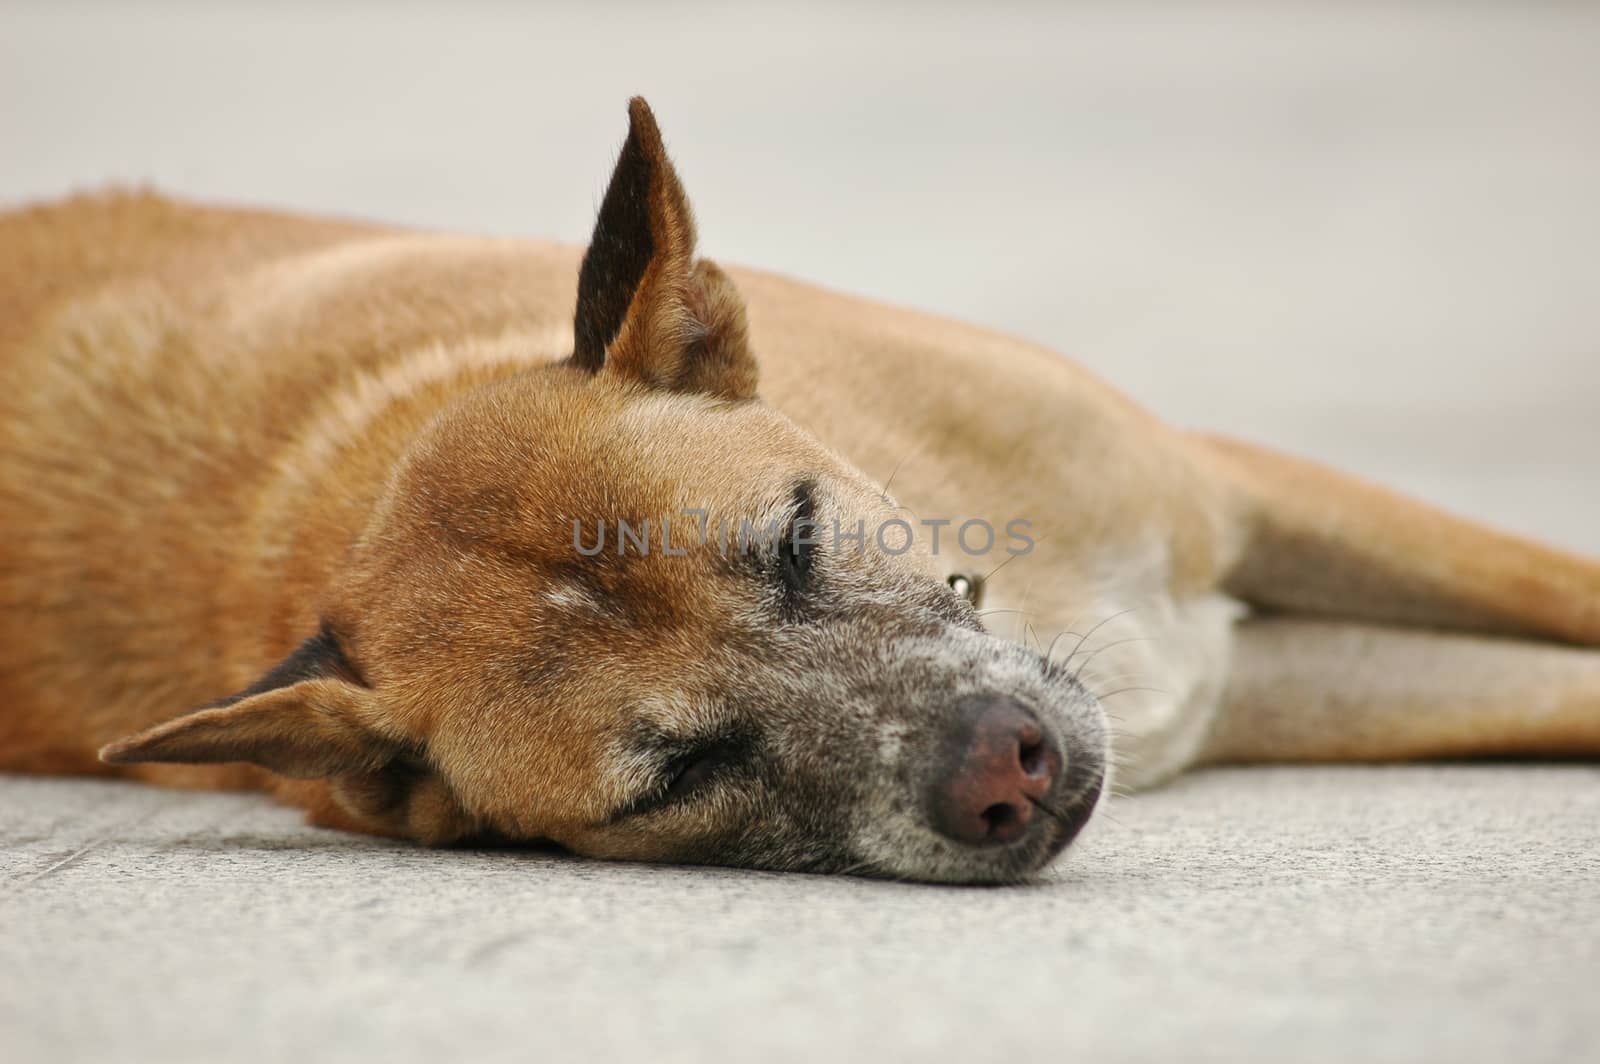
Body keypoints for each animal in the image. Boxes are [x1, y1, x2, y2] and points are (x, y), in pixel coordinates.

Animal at [3, 97, 1600, 876]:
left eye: (795, 537)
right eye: (676, 778)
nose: (1008, 768)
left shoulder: (1241, 501)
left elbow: (1561, 596)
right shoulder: (1263, 680)